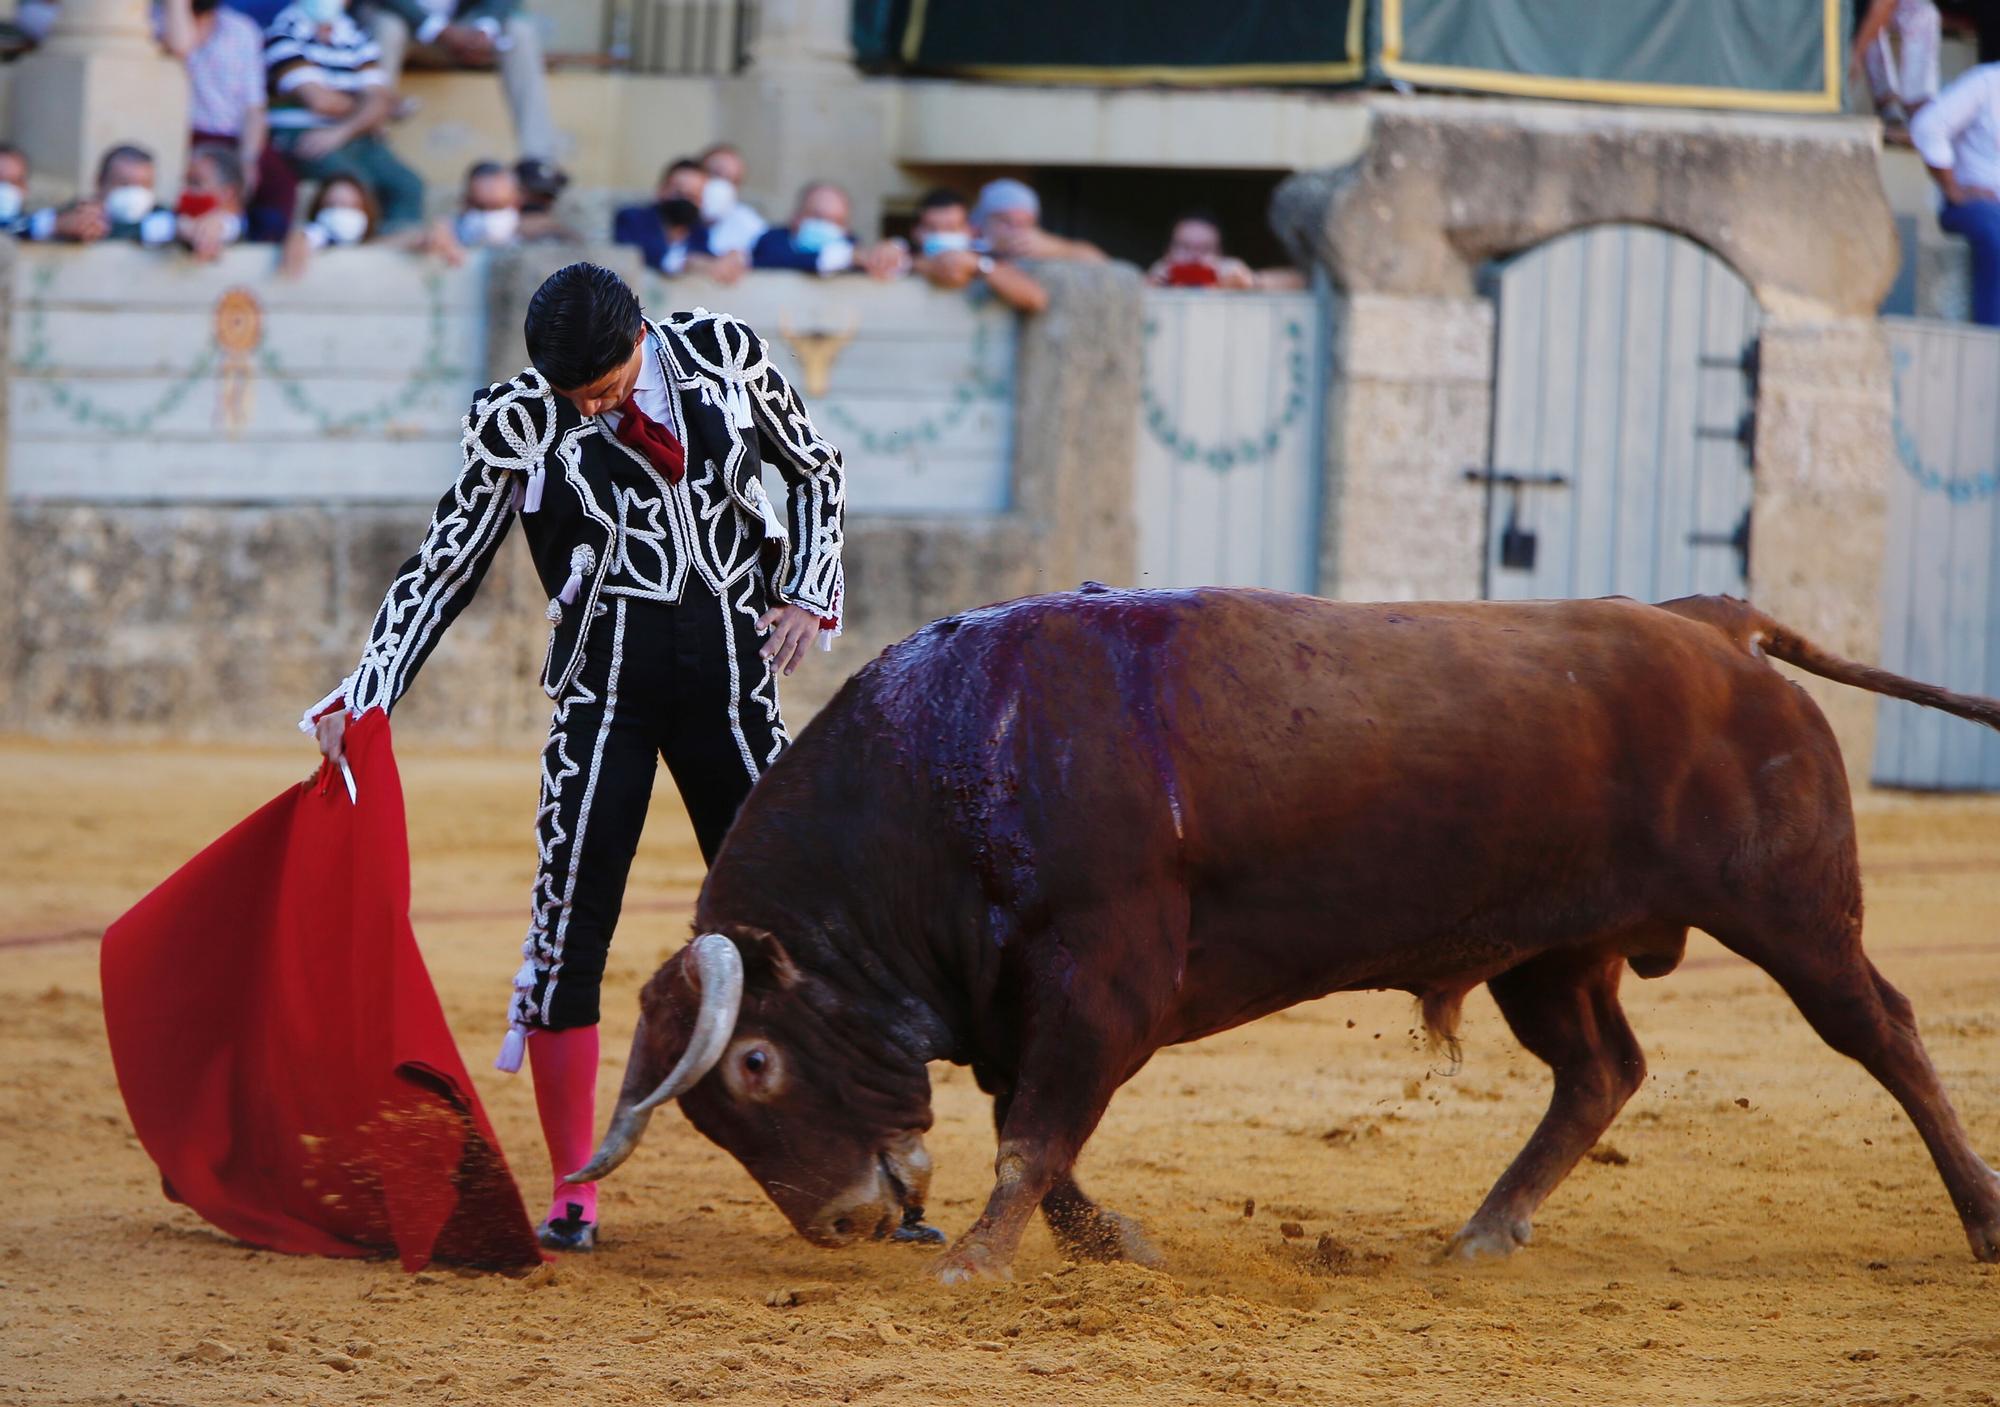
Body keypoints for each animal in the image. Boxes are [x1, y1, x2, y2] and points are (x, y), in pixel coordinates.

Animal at [572, 587, 2000, 1279]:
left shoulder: (1100, 983)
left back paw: (1982, 1221)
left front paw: (972, 1265)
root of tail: (1715, 626)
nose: (845, 1223)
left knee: (1882, 1032)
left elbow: (1033, 1131)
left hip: (1793, 912)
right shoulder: (1014, 1006)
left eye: (756, 1065)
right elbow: (1034, 1134)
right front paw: (1107, 1244)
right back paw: (1479, 1235)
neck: (958, 754)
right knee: (1599, 1069)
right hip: (1551, 952)